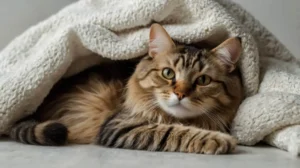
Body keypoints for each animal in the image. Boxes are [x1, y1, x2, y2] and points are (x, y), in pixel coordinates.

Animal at [9, 23, 244, 155]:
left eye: (203, 80)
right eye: (168, 73)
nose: (180, 94)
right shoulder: (119, 126)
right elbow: (172, 130)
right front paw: (219, 140)